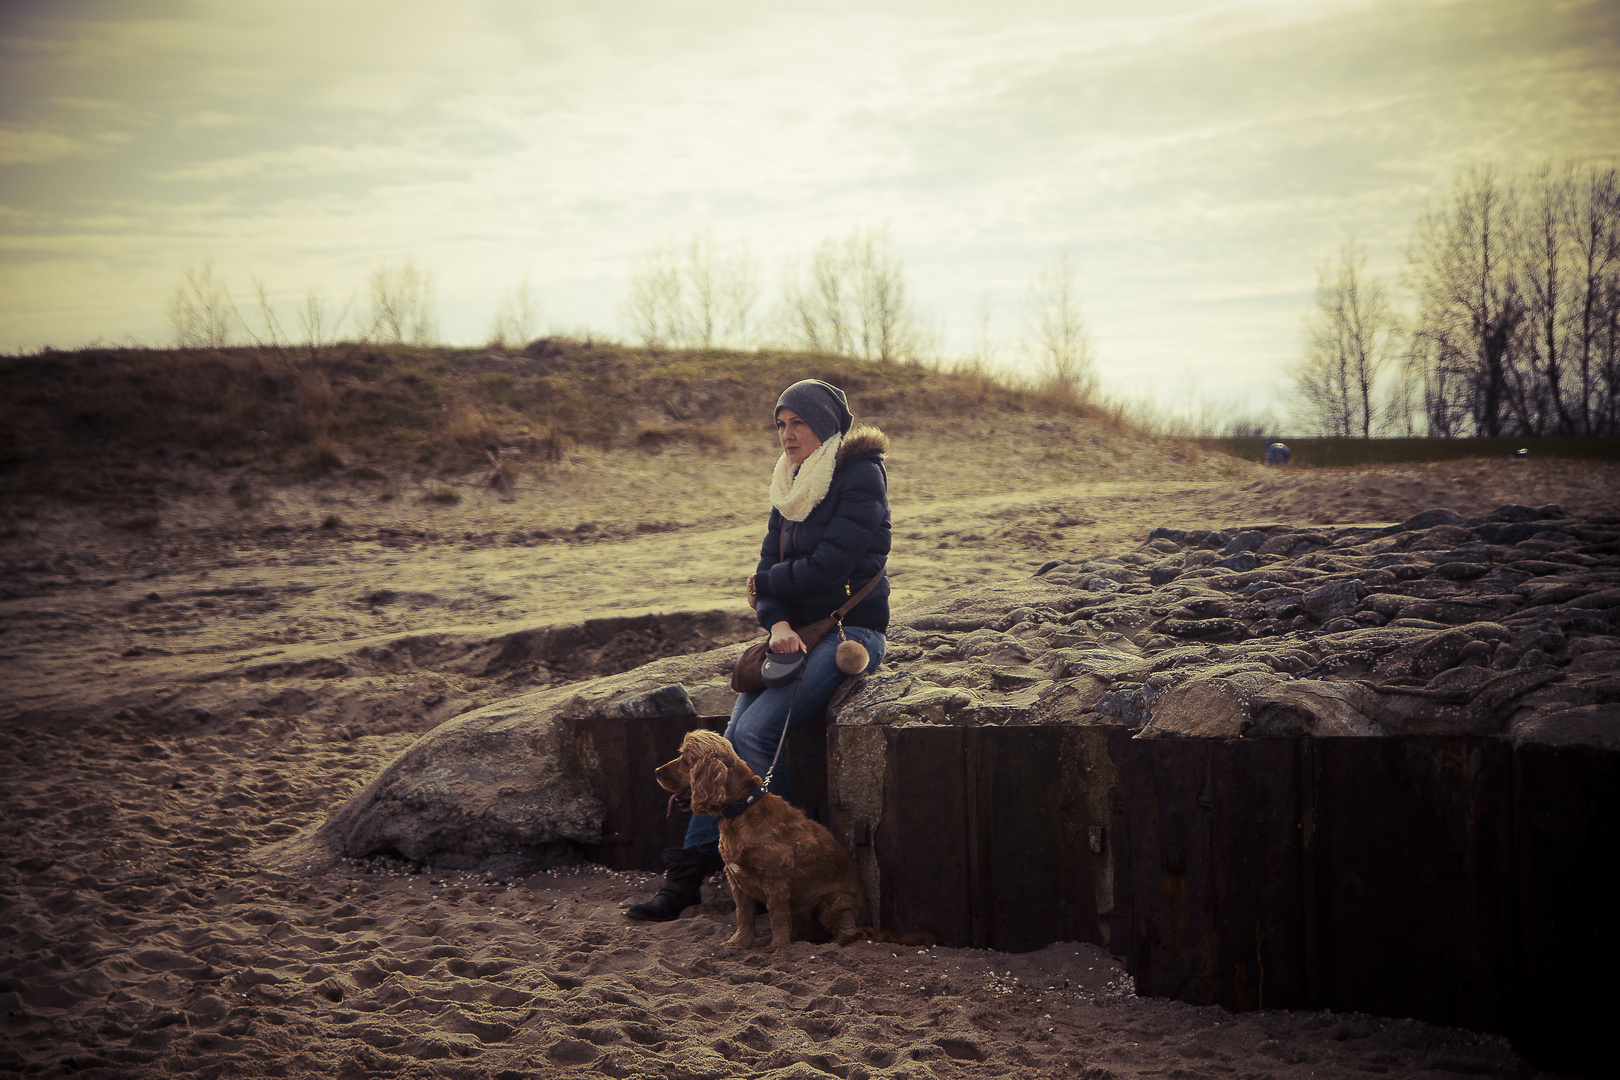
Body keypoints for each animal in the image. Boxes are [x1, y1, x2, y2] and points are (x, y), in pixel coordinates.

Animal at [651, 731, 868, 952]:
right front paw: (739, 943)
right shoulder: (736, 882)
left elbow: (777, 916)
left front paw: (778, 946)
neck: (742, 809)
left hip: (834, 903)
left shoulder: (775, 880)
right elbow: (744, 916)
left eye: (686, 759)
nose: (656, 771)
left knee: (852, 933)